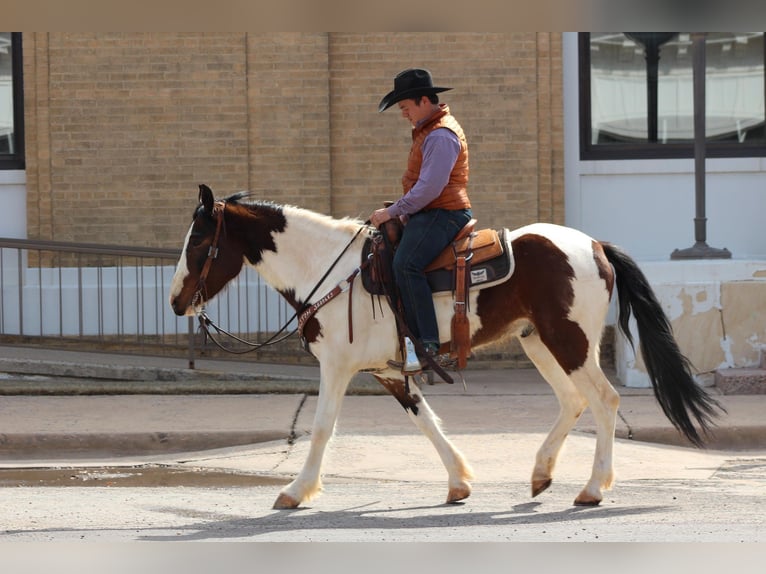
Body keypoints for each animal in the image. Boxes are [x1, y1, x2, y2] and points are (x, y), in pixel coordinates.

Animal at [170, 183, 728, 508]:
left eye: (199, 242)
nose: (176, 301)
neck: (329, 270)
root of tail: (594, 245)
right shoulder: (389, 370)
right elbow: (425, 420)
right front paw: (459, 482)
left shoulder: (337, 365)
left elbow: (323, 427)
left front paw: (295, 490)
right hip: (539, 343)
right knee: (574, 401)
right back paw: (541, 475)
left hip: (569, 341)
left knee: (605, 400)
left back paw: (591, 489)